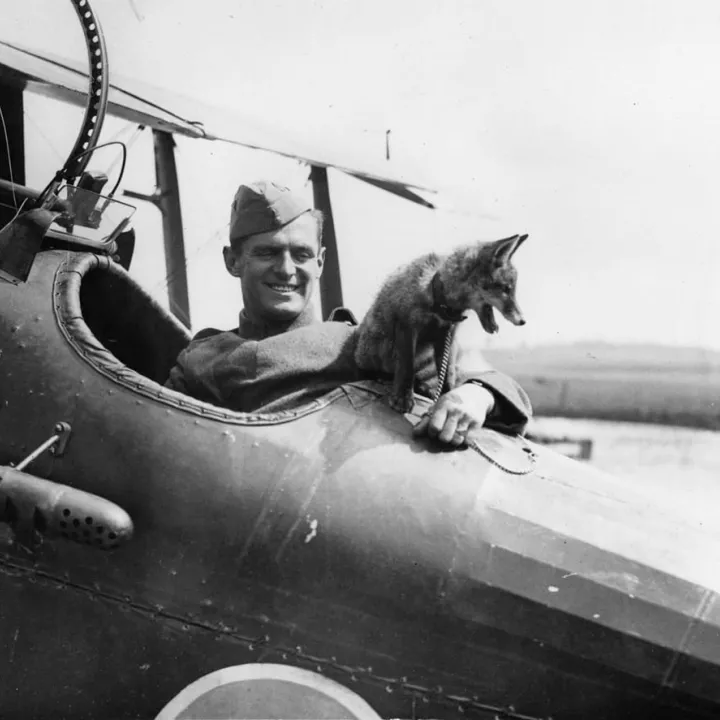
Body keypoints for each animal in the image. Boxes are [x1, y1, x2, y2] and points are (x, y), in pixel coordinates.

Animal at [354, 233, 528, 414]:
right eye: (506, 289)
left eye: (511, 290)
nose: (523, 321)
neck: (439, 305)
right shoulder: (407, 327)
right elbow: (406, 367)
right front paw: (403, 397)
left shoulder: (447, 336)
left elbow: (447, 373)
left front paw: (448, 397)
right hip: (375, 351)